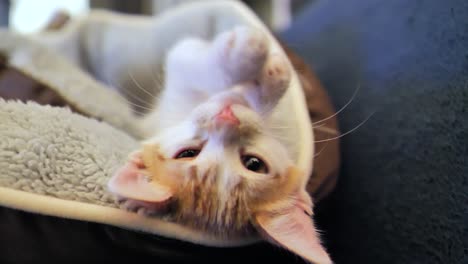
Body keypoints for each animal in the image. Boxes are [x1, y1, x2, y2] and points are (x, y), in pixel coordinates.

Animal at [107, 25, 332, 264]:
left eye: (253, 163)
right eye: (188, 153)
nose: (226, 118)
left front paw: (265, 74)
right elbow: (186, 57)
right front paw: (249, 56)